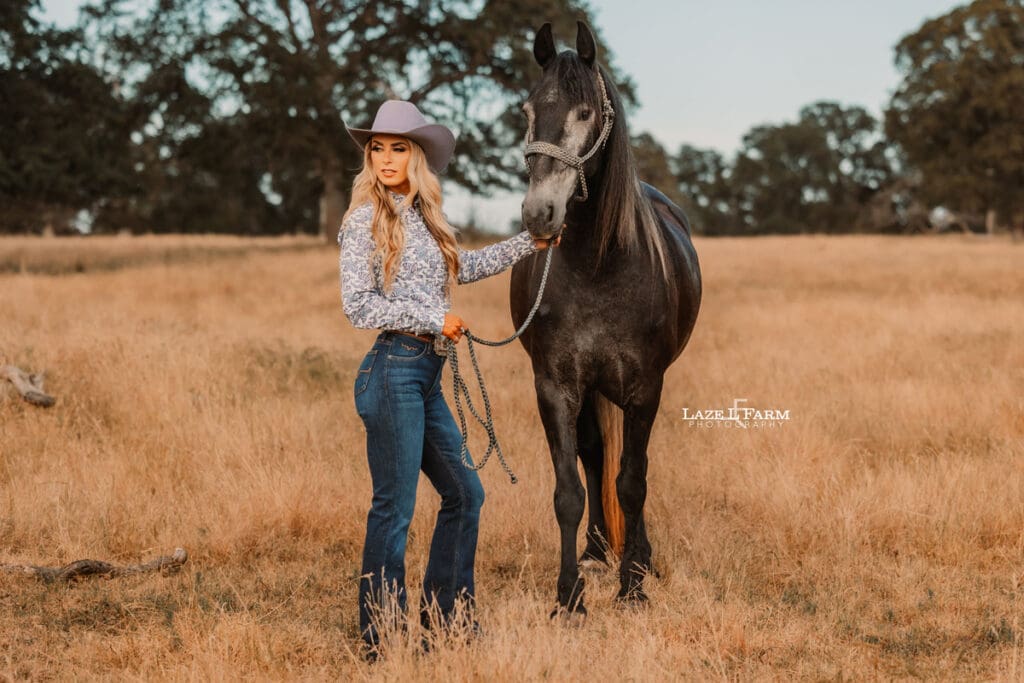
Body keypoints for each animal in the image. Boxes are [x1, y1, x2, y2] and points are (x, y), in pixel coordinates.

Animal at [510, 21, 702, 616]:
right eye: (527, 110)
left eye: (585, 112)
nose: (539, 214)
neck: (599, 264)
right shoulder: (554, 385)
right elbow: (569, 490)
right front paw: (568, 595)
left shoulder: (644, 387)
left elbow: (633, 482)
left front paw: (633, 585)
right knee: (594, 458)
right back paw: (597, 551)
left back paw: (638, 557)